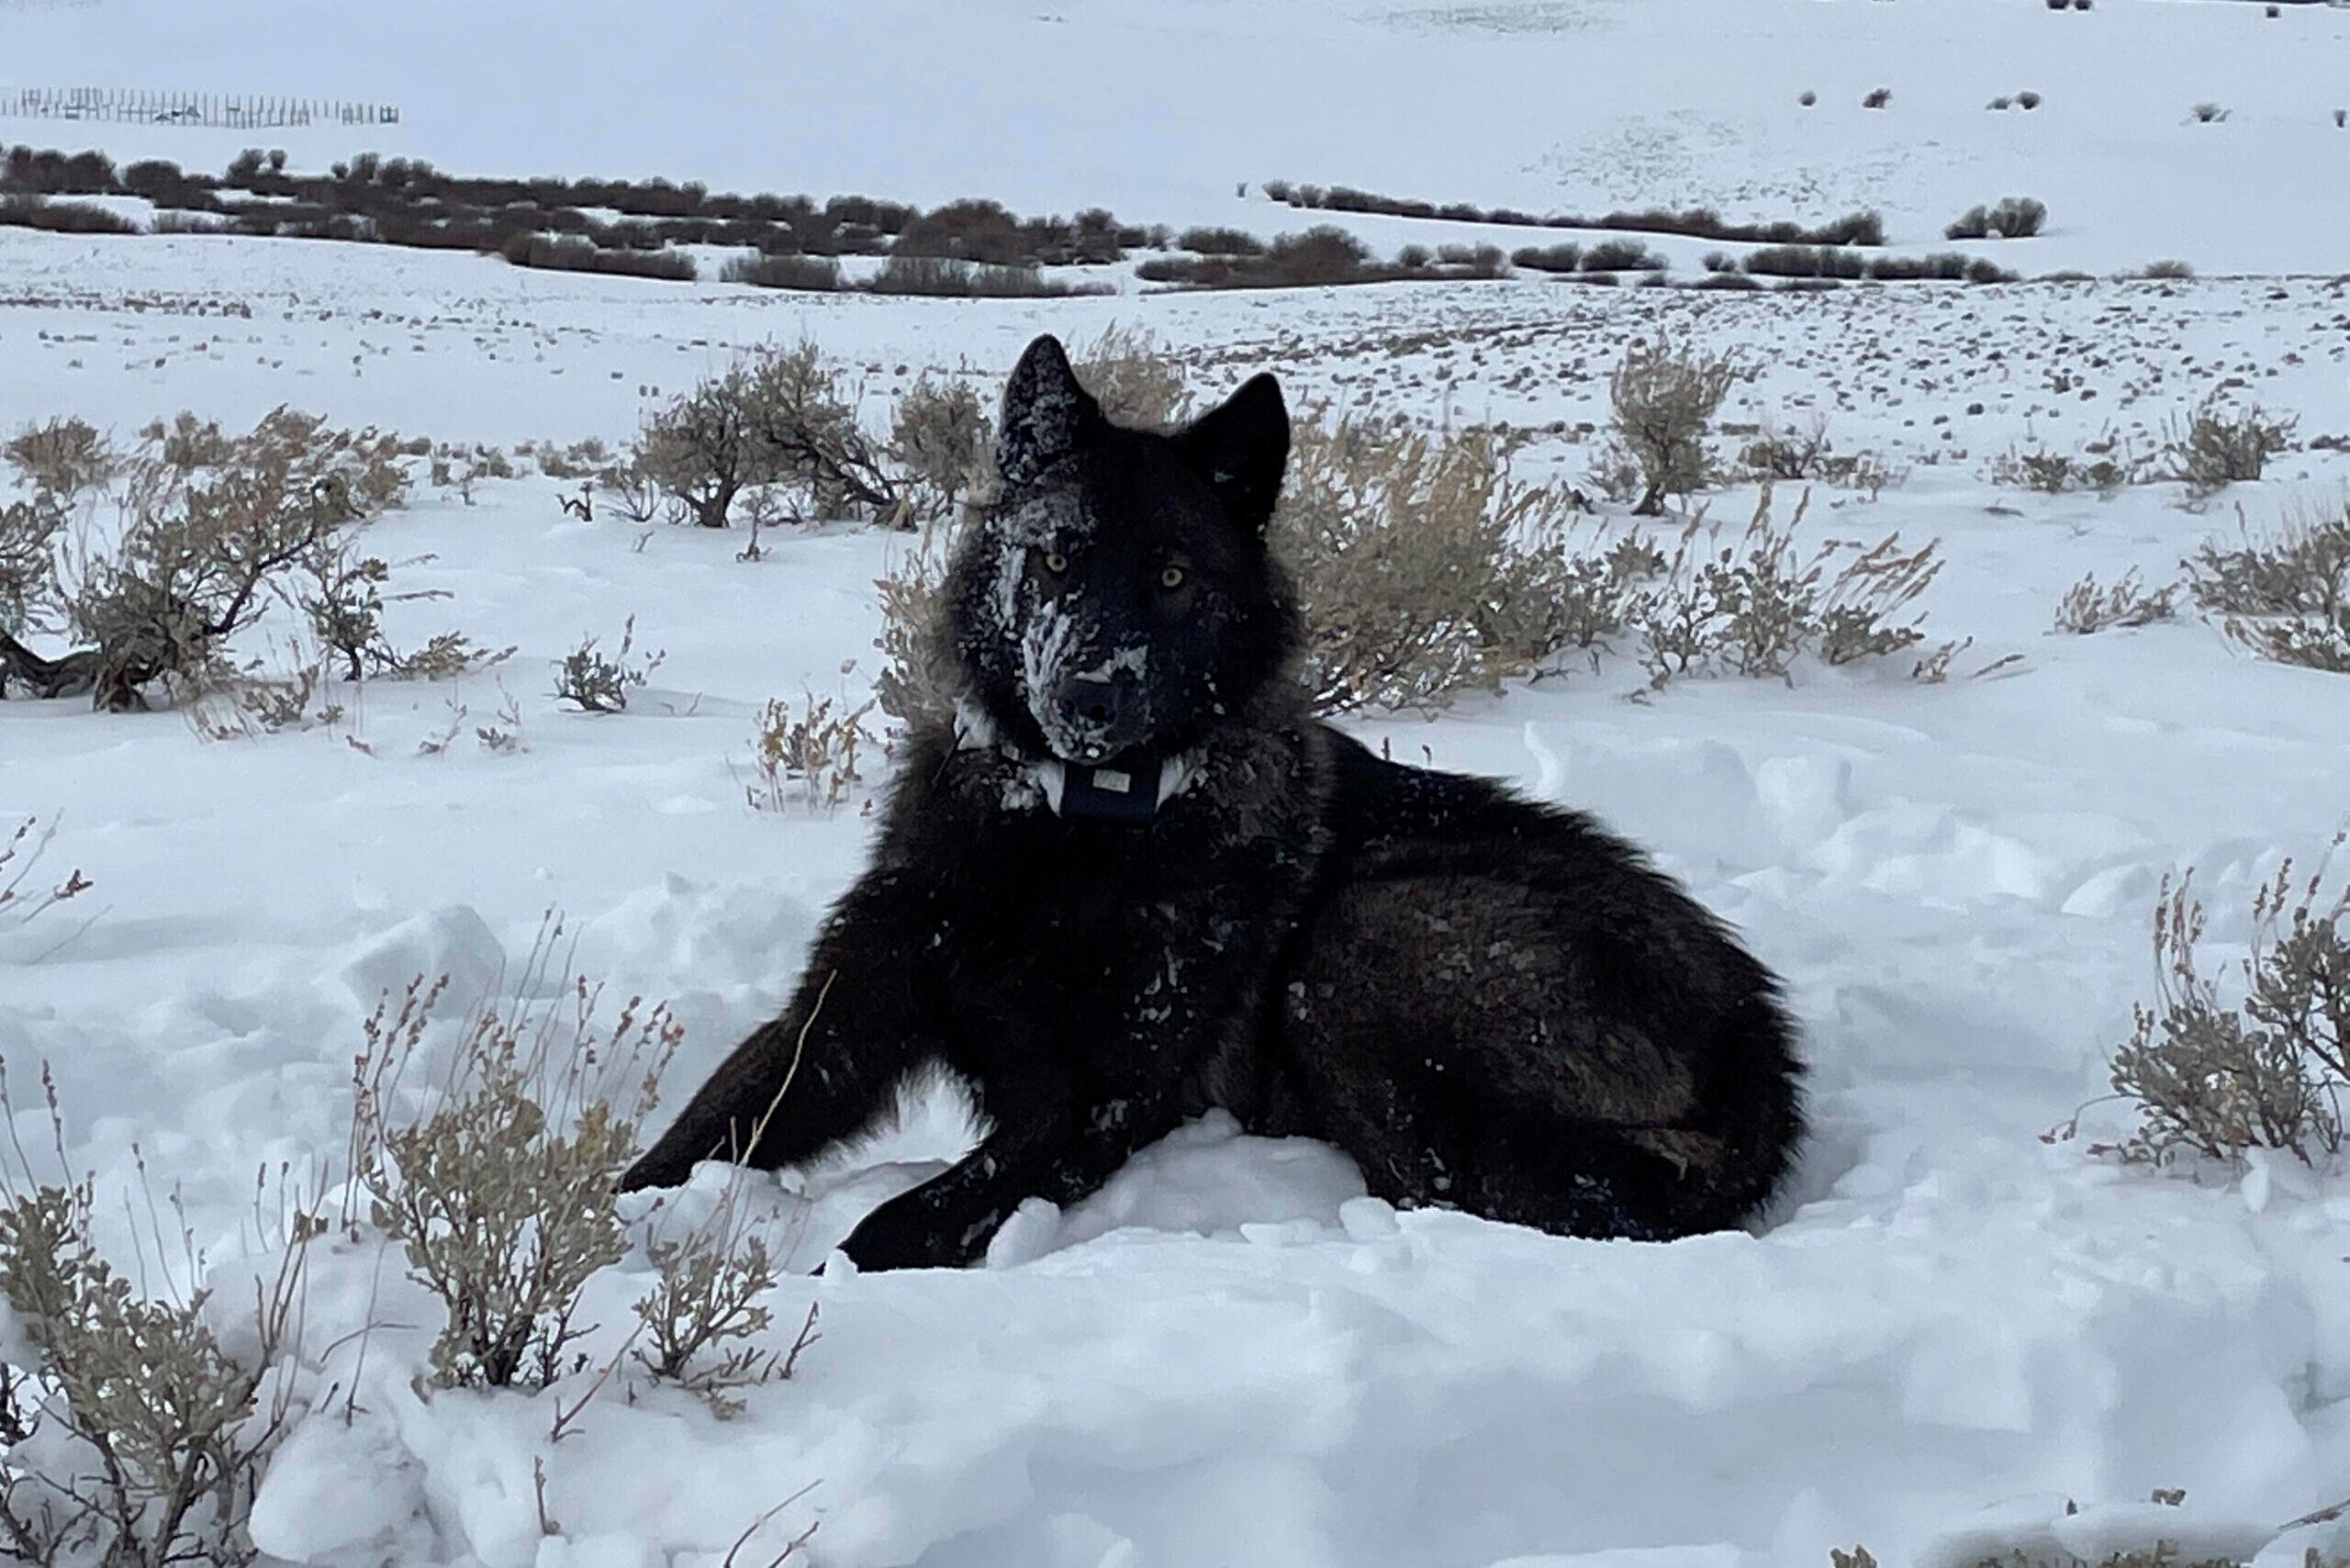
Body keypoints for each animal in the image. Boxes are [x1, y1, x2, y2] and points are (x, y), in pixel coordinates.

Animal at [620, 338, 1795, 1269]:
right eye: (1057, 554)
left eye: (1175, 576)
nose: (1088, 694)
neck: (1074, 832)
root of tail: (1760, 1047)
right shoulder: (841, 1019)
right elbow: (687, 1141)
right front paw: (604, 1237)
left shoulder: (1097, 1103)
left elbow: (894, 1227)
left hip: (1367, 938)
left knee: (1466, 1184)